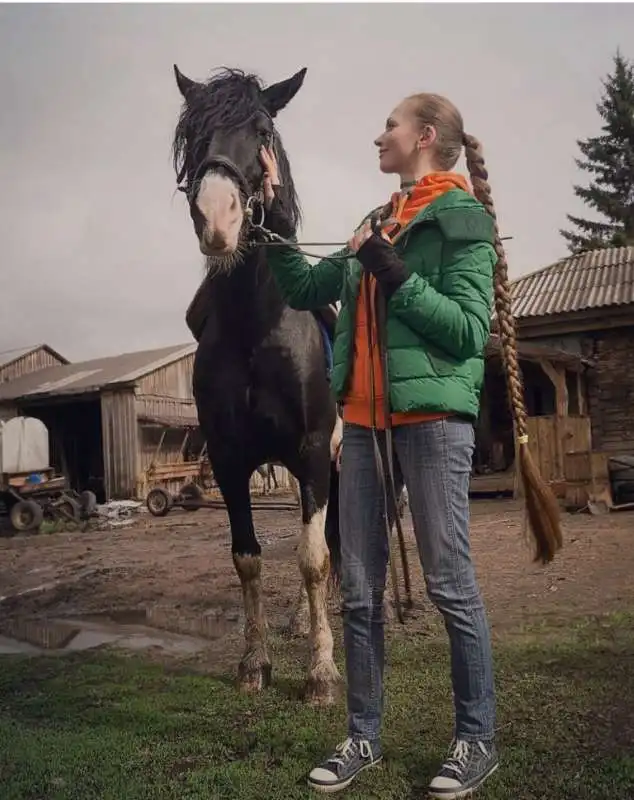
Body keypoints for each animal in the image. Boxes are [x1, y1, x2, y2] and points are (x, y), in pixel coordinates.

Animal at [172, 65, 340, 704]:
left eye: (263, 130)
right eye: (193, 133)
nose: (217, 218)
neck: (258, 327)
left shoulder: (313, 452)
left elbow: (314, 558)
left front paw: (321, 672)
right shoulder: (229, 460)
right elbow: (248, 557)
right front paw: (255, 662)